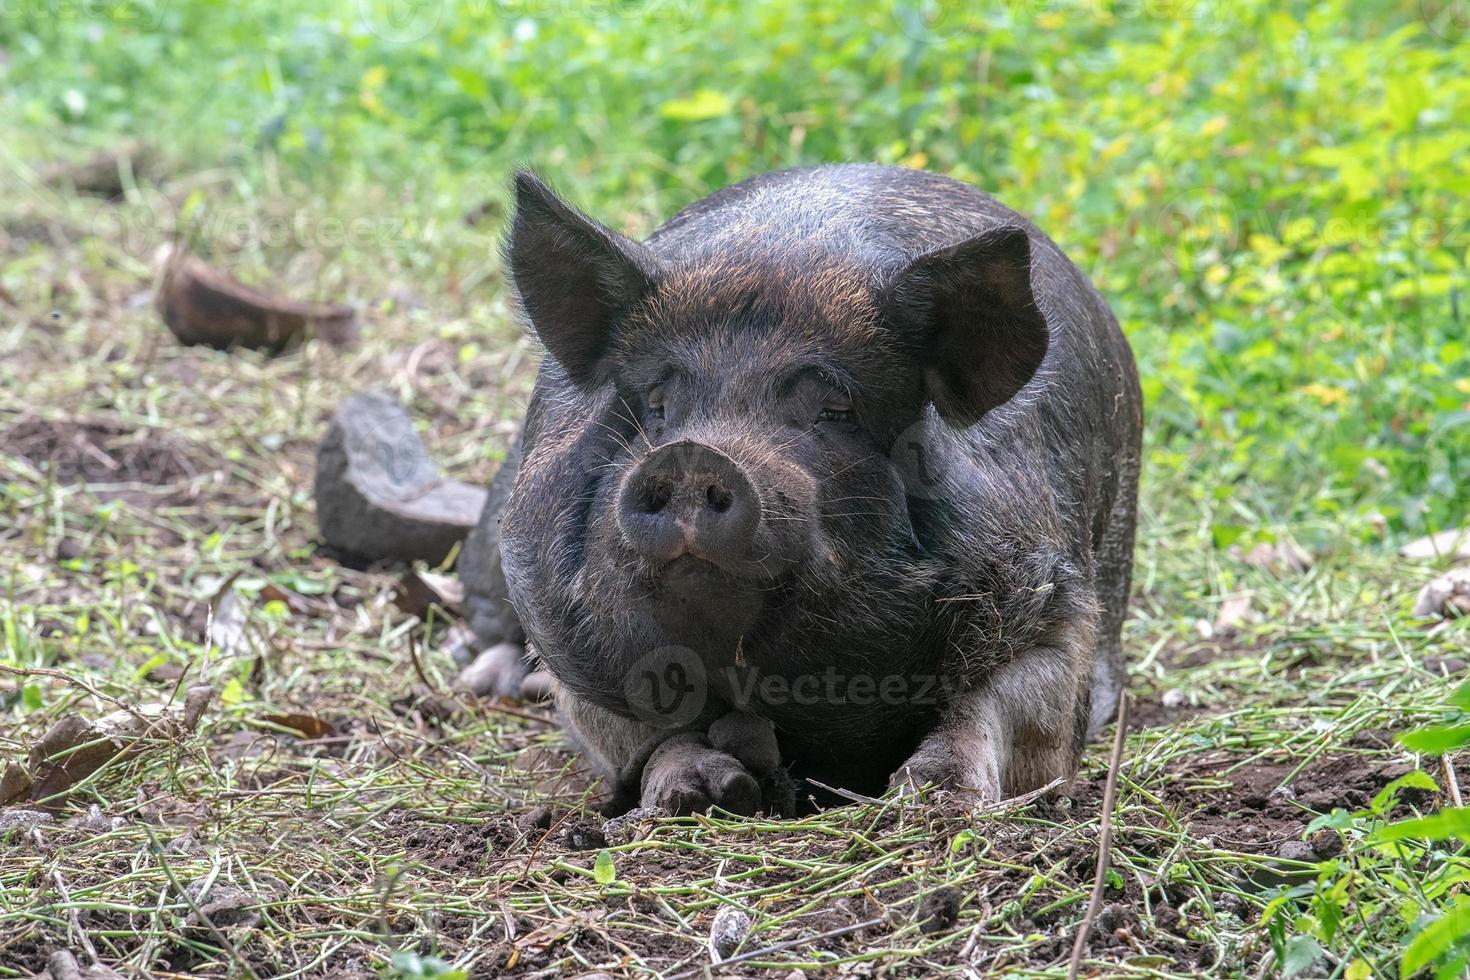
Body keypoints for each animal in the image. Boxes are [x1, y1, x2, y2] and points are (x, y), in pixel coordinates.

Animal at [464, 164, 1140, 816]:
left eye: (835, 408)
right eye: (656, 403)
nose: (694, 456)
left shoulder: (1051, 596)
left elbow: (999, 709)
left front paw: (936, 802)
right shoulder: (568, 637)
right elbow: (644, 732)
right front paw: (706, 796)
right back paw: (493, 683)